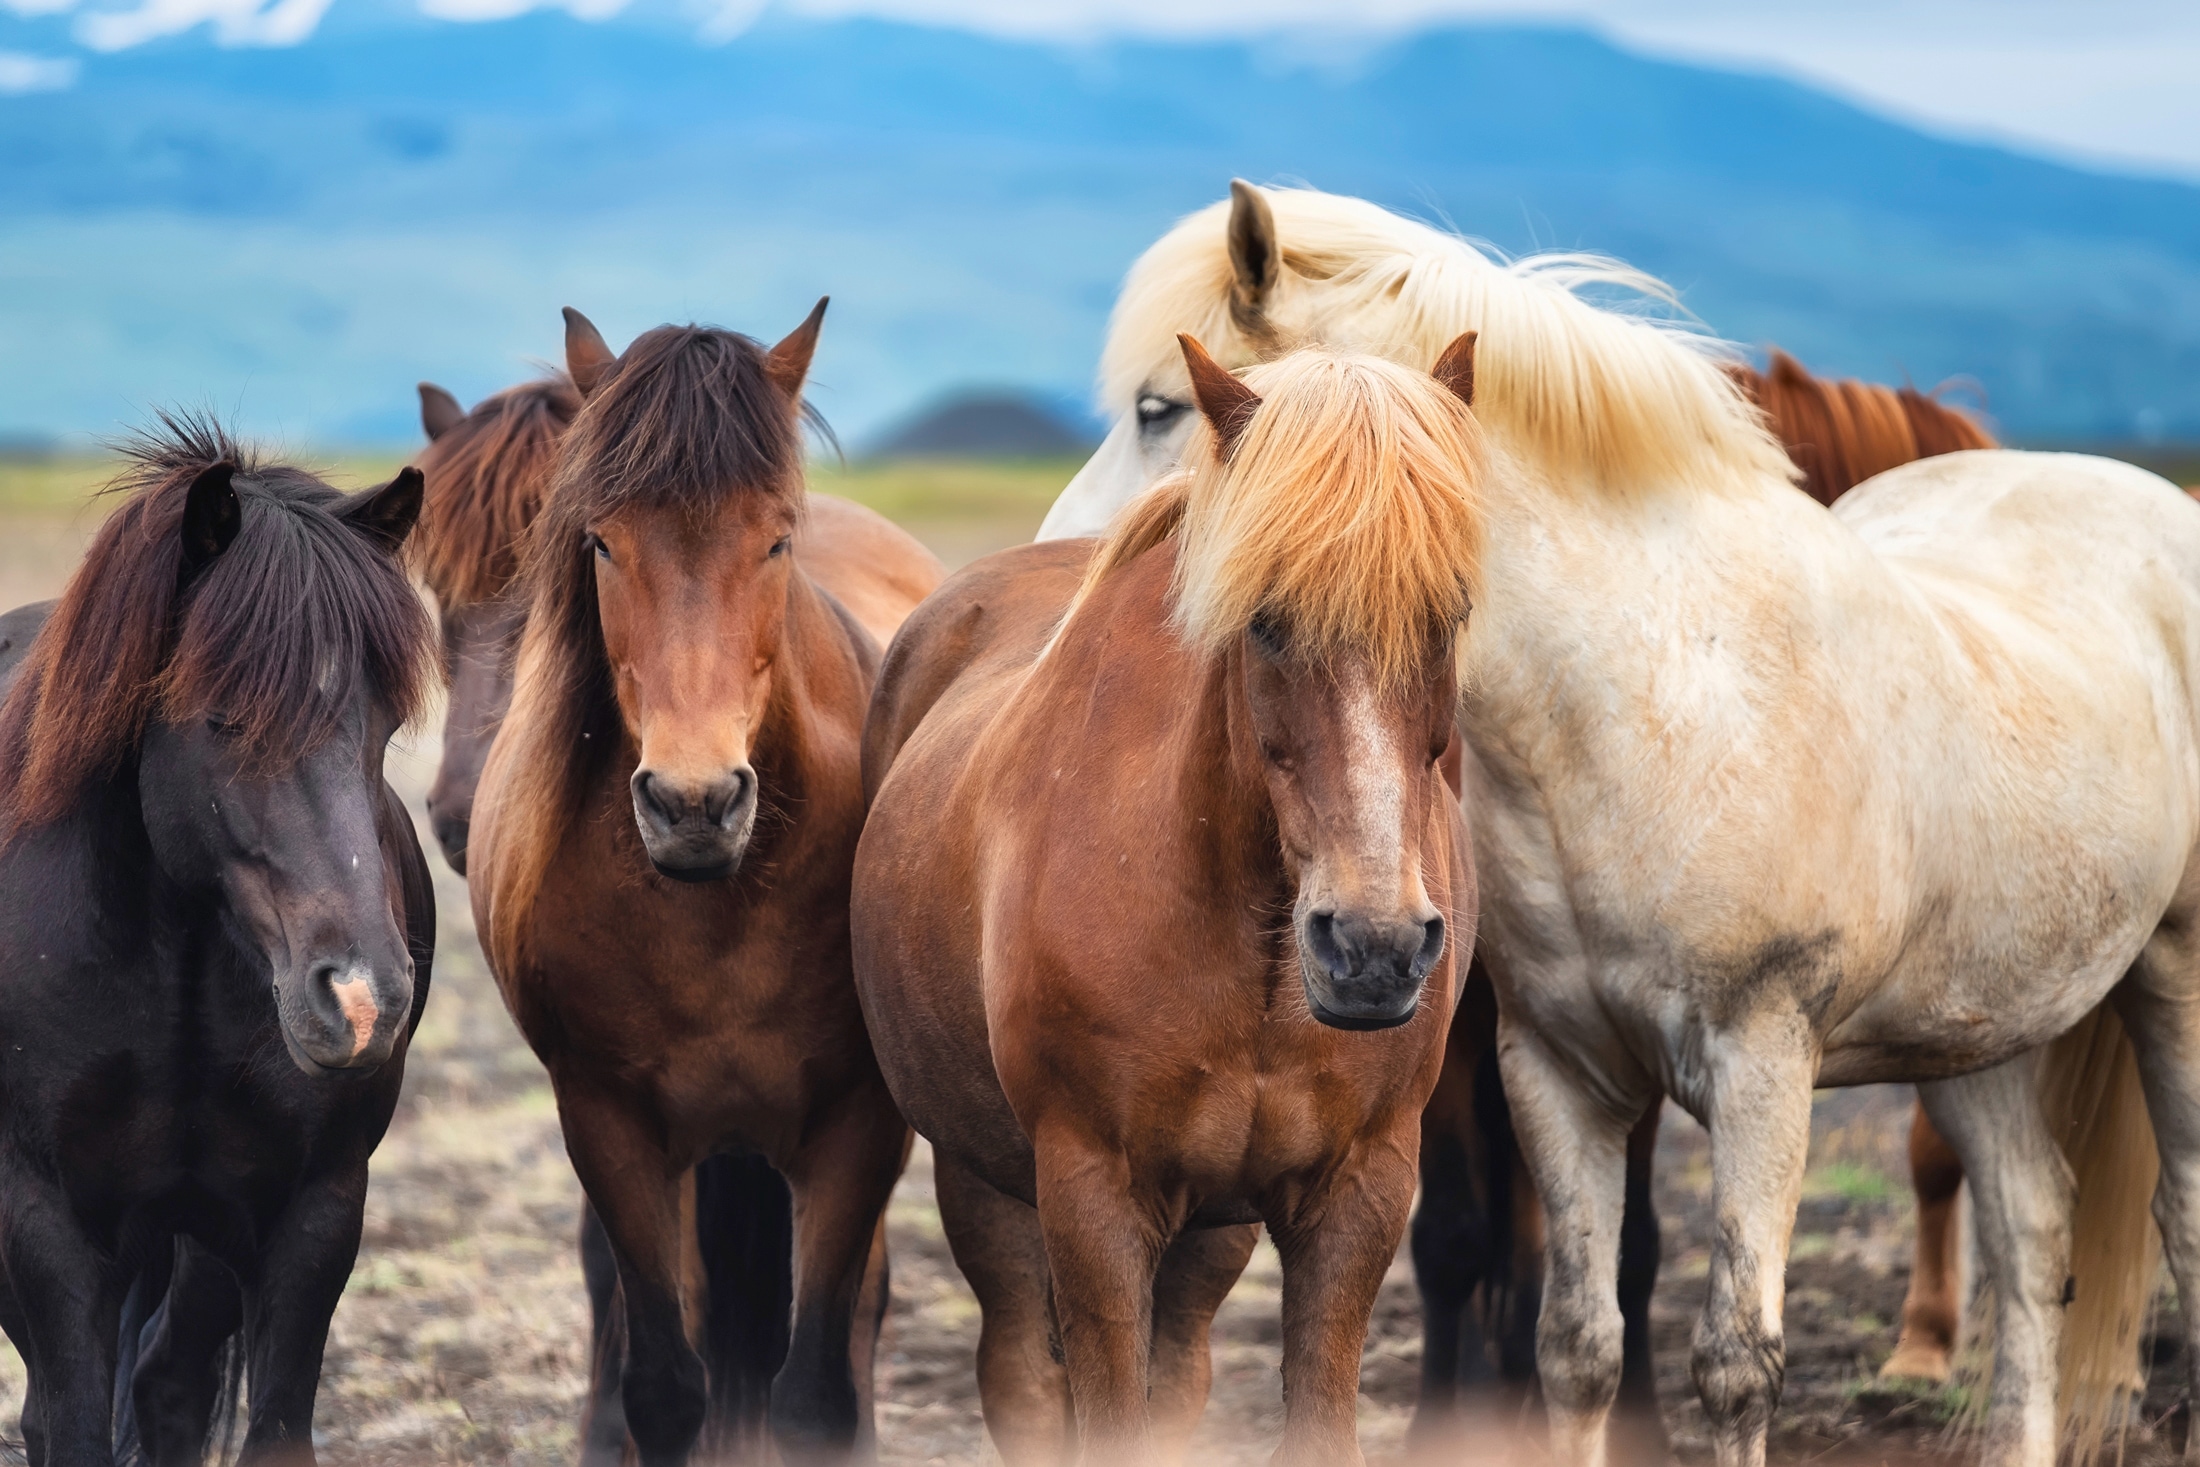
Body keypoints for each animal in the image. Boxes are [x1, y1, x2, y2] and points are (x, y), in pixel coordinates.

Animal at [0, 415, 436, 1463]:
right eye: (224, 716)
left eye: (381, 720)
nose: (364, 1000)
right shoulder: (43, 1225)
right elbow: (68, 1424)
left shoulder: (314, 1217)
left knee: (167, 1382)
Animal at [467, 304, 942, 1466]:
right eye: (601, 541)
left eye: (774, 539)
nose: (693, 803)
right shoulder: (611, 1128)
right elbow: (665, 1387)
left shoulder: (858, 1125)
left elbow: (814, 1391)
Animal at [854, 335, 1480, 1467]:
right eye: (1265, 621)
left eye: (1448, 615)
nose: (1372, 948)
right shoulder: (1092, 1195)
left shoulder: (1359, 1194)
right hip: (985, 1183)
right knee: (1023, 1375)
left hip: (1209, 1233)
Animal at [1041, 182, 2200, 1467]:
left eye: (1157, 409)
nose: (1056, 568)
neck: (1650, 696)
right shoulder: (1556, 1067)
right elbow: (1577, 1345)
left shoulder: (1760, 1064)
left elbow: (1735, 1364)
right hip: (1975, 1029)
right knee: (2033, 1222)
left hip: (2170, 976)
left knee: (2180, 1219)